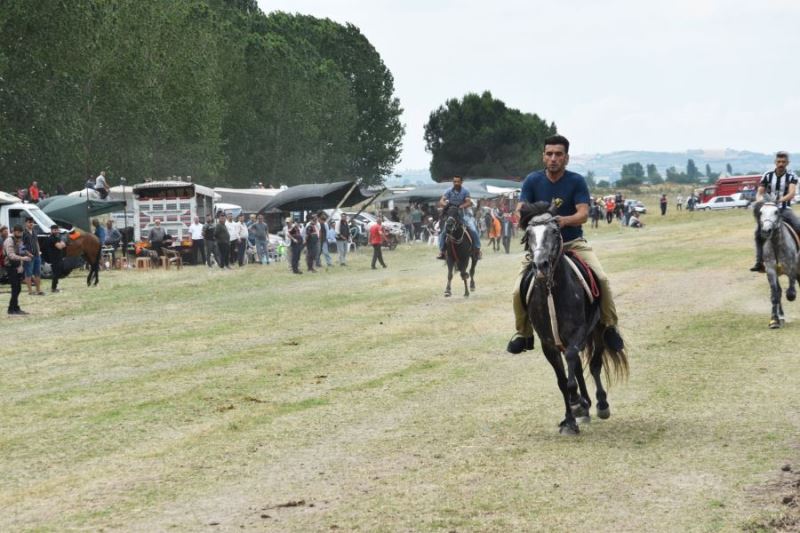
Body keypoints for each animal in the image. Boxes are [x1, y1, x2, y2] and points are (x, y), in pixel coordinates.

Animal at [760, 196, 796, 326]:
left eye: (776, 212)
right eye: (761, 212)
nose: (766, 230)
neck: (776, 244)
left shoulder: (792, 268)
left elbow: (790, 293)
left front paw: (791, 296)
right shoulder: (770, 270)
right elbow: (775, 294)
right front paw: (774, 319)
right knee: (778, 291)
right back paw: (781, 316)